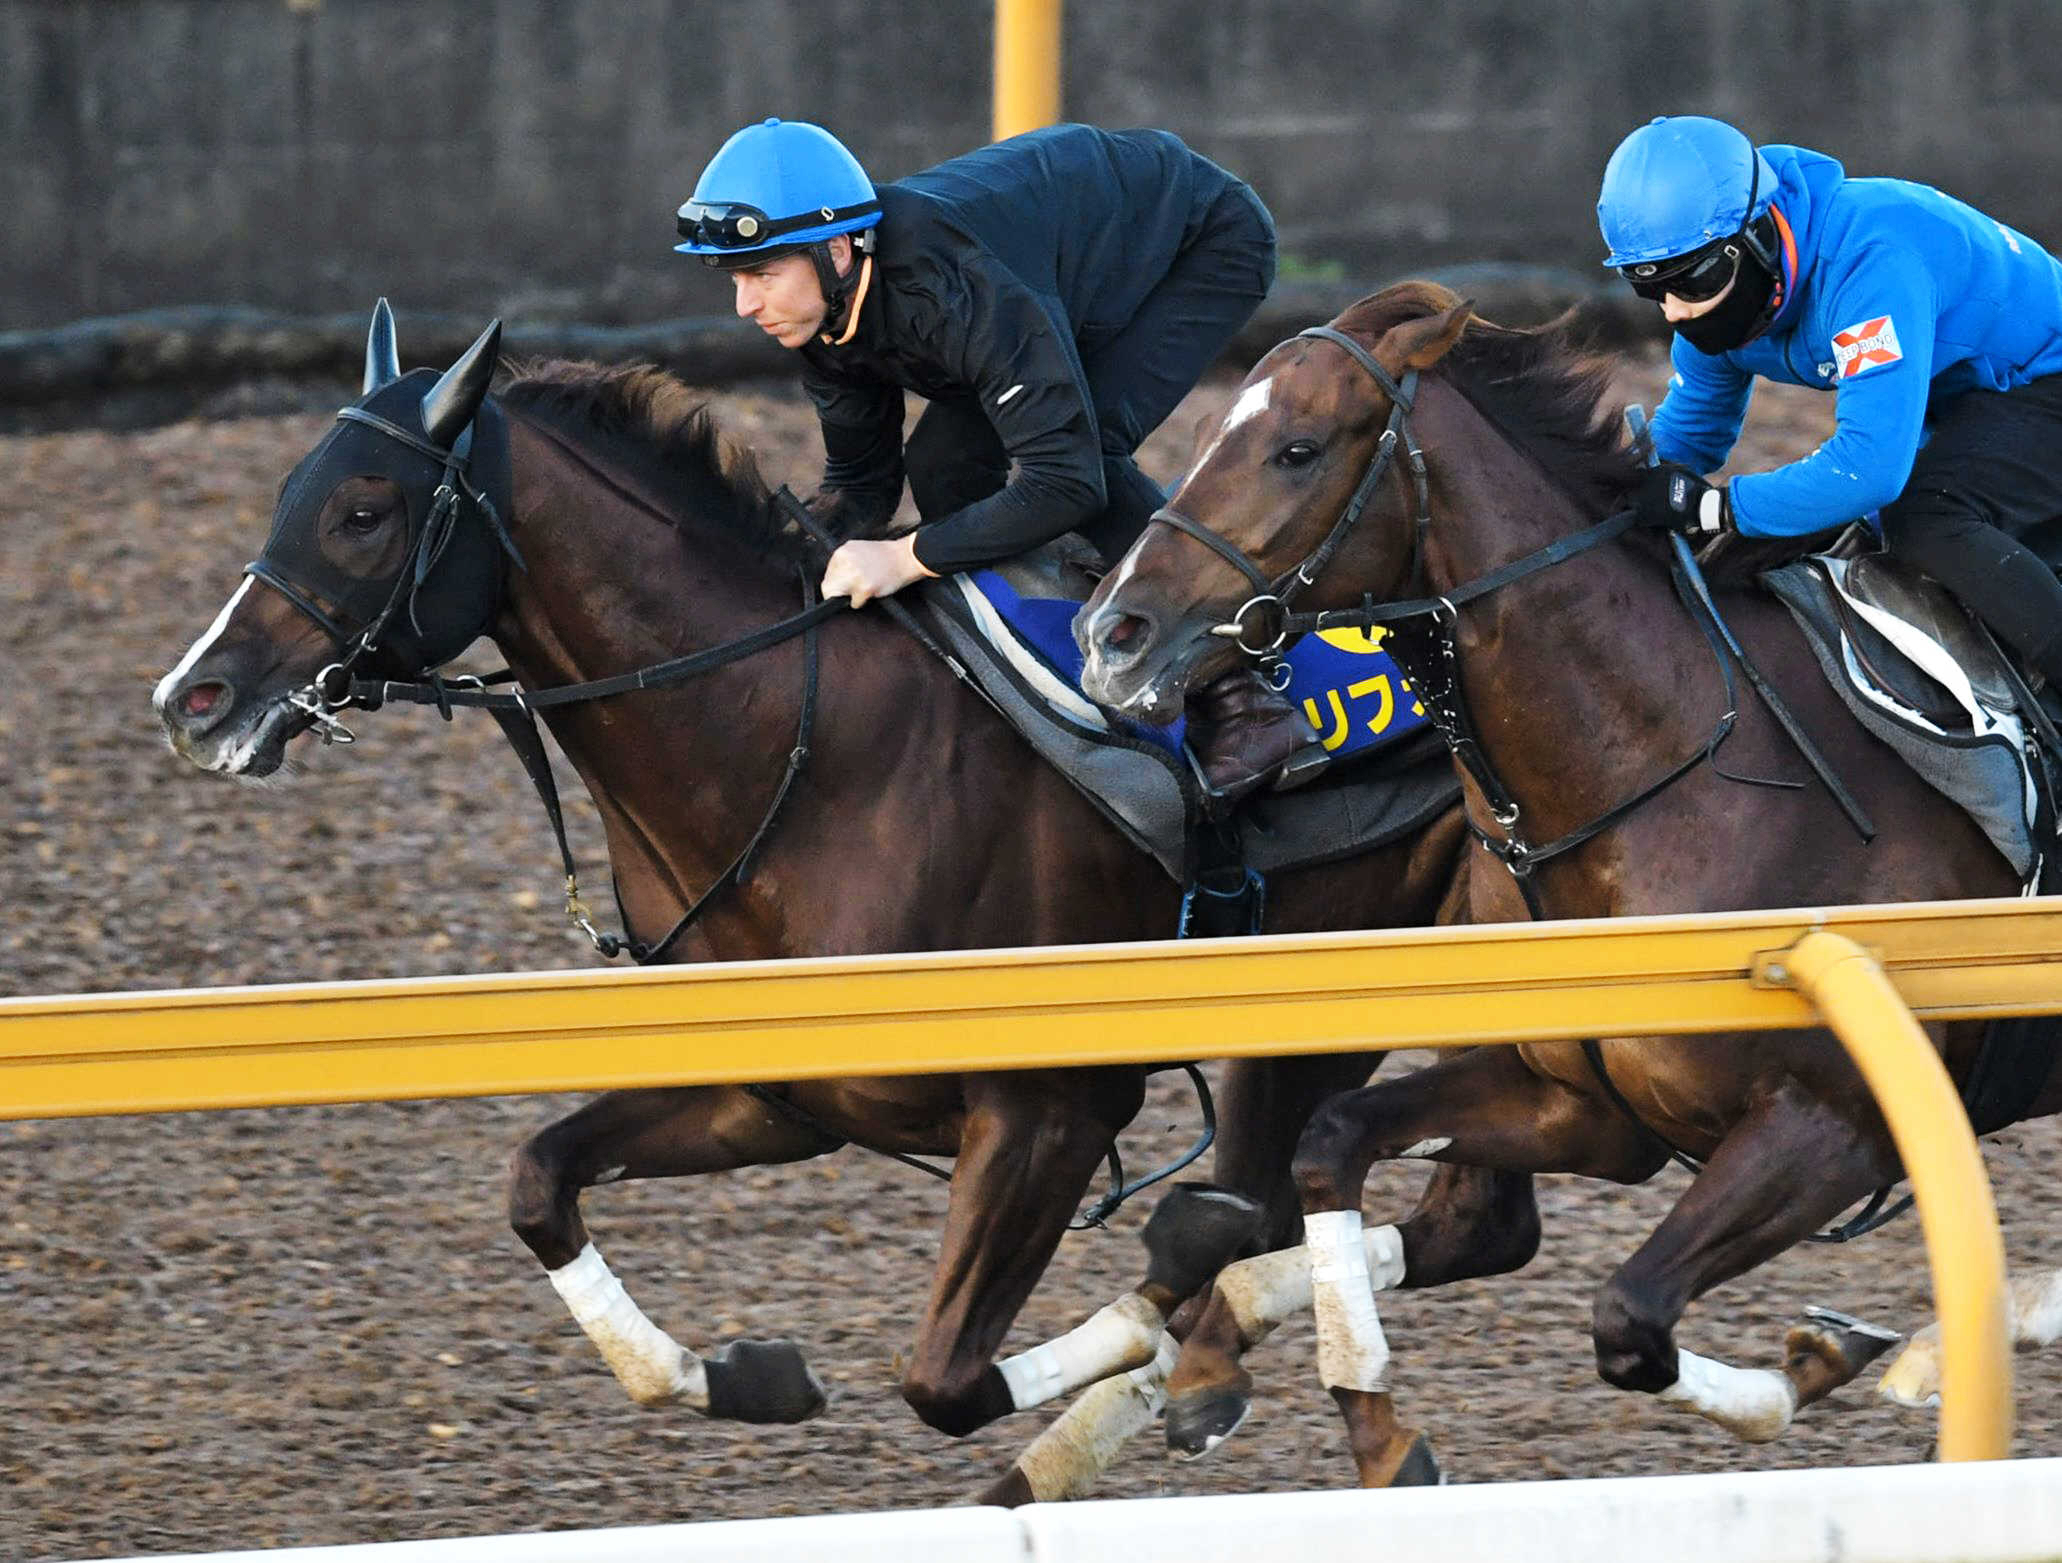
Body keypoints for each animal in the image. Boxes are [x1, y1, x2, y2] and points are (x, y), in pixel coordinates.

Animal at [156, 303, 1501, 1484]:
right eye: (288, 492)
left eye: (363, 511)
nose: (193, 698)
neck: (807, 753)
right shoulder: (777, 1096)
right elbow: (539, 1182)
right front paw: (746, 1376)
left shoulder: (1051, 1108)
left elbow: (949, 1374)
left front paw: (1168, 1299)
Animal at [1072, 284, 2053, 1492]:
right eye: (1211, 431)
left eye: (1297, 449)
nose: (1109, 634)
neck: (1655, 770)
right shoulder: (1571, 1099)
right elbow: (1335, 1142)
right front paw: (1350, 1418)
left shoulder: (1837, 1124)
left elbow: (1628, 1321)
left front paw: (1825, 1360)